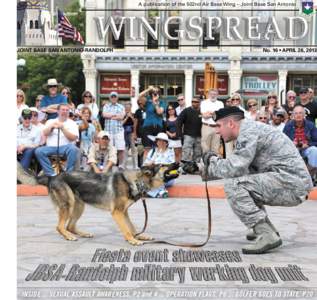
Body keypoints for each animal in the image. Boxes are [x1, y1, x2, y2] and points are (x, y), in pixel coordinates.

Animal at [17, 164, 178, 246]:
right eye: (164, 165)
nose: (178, 162)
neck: (136, 181)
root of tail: (52, 177)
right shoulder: (117, 213)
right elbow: (126, 229)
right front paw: (133, 240)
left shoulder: (124, 212)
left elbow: (131, 227)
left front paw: (140, 236)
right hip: (68, 205)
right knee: (60, 227)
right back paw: (69, 237)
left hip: (79, 206)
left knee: (70, 226)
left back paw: (82, 233)